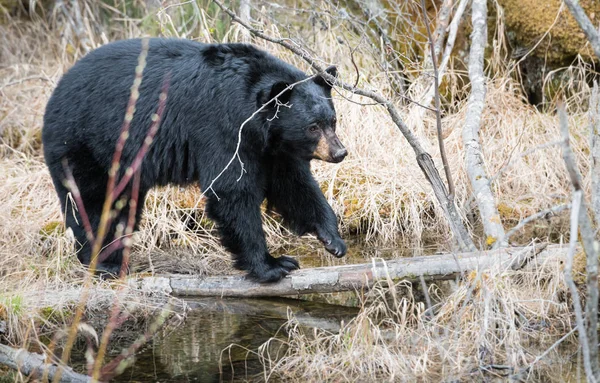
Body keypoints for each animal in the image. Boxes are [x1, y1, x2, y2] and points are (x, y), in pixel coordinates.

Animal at [42, 39, 346, 284]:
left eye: (332, 120)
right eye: (312, 127)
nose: (340, 153)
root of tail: (56, 92)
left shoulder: (273, 149)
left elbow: (293, 184)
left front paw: (332, 239)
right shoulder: (223, 127)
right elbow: (232, 190)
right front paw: (271, 266)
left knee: (121, 207)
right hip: (87, 144)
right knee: (94, 202)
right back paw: (104, 263)